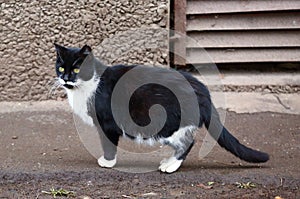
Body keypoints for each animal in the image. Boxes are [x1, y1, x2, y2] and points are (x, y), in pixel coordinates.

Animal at [54, 43, 270, 173]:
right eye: (61, 68)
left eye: (76, 69)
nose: (65, 78)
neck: (89, 84)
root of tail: (204, 92)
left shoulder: (106, 124)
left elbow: (109, 144)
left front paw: (107, 162)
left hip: (168, 125)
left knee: (188, 142)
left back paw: (170, 166)